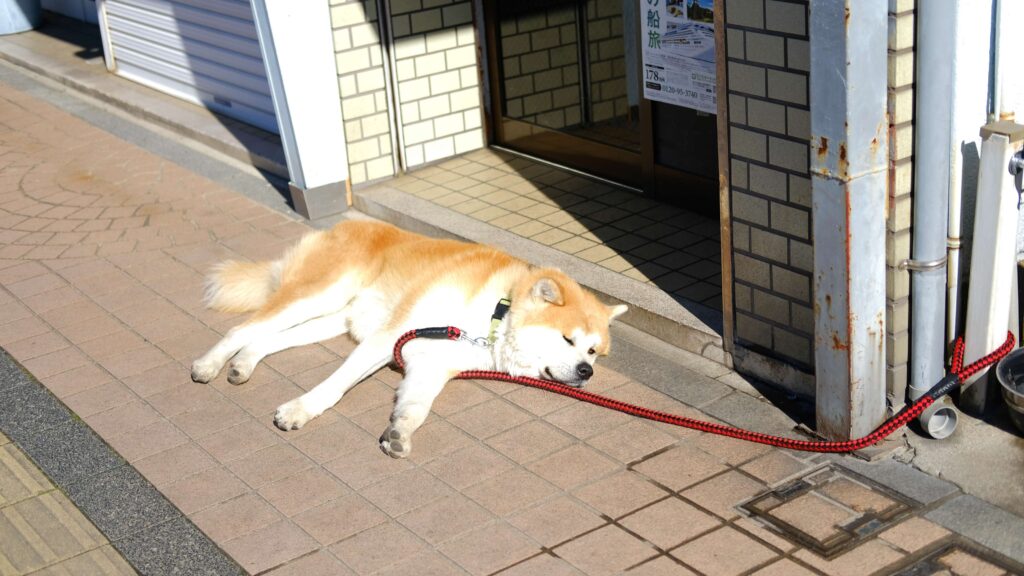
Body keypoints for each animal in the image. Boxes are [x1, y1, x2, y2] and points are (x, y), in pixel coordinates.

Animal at [190, 219, 622, 457]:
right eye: (567, 339)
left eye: (593, 351)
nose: (586, 372)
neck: (493, 313)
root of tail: (341, 226)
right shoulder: (389, 338)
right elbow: (335, 387)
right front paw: (300, 410)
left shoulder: (431, 366)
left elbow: (416, 409)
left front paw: (400, 434)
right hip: (320, 295)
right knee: (243, 329)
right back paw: (209, 364)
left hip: (332, 318)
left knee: (264, 339)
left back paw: (242, 365)